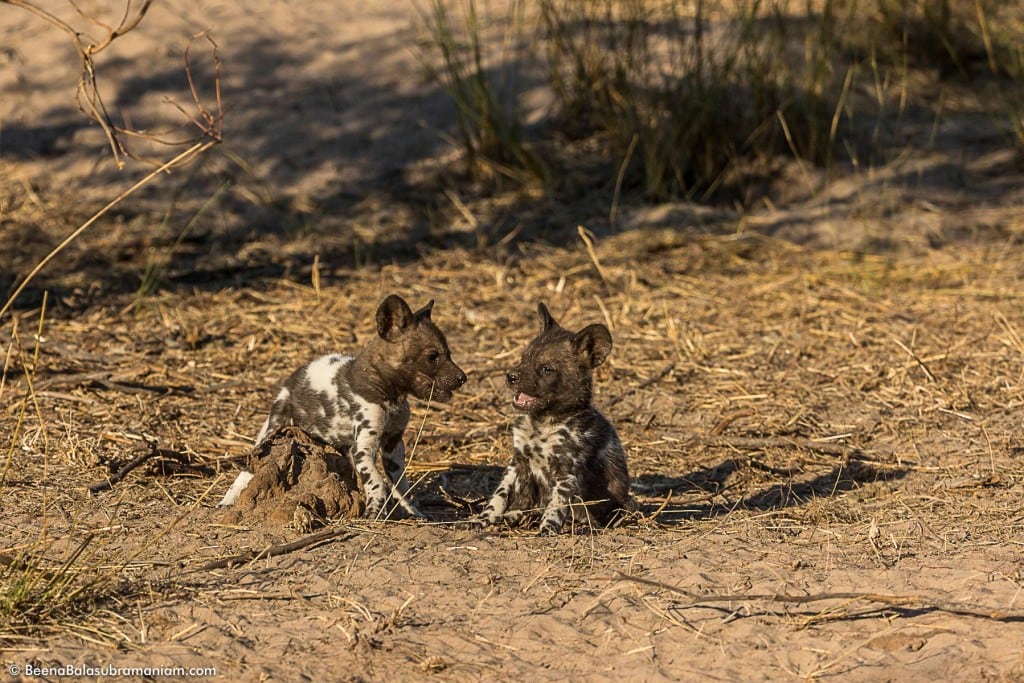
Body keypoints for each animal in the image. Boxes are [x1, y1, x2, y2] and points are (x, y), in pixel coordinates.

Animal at [222, 294, 468, 518]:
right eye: (433, 356)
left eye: (449, 354)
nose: (462, 378)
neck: (390, 394)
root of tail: (292, 379)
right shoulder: (364, 448)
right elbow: (377, 482)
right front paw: (374, 512)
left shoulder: (393, 446)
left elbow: (401, 486)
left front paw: (412, 512)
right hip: (274, 429)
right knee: (248, 467)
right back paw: (227, 501)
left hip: (343, 447)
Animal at [477, 303, 630, 532]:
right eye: (523, 358)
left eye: (547, 369)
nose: (510, 376)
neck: (540, 423)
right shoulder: (517, 462)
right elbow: (499, 495)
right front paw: (485, 518)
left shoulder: (566, 473)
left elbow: (556, 505)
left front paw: (548, 528)